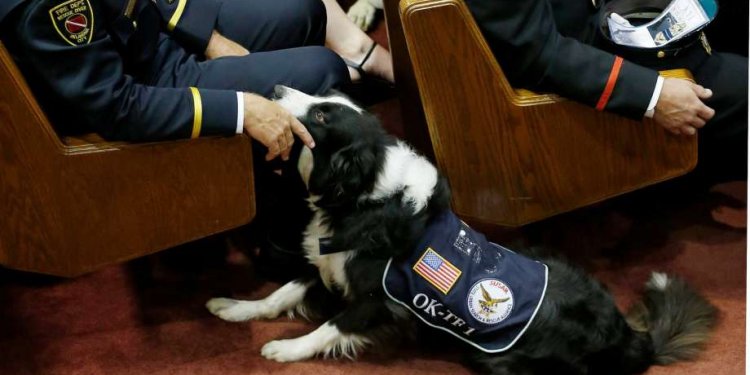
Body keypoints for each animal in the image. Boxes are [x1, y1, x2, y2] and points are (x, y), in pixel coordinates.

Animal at [209, 86, 720, 374]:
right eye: (322, 102)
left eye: (320, 116)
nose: (276, 87)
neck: (362, 195)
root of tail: (630, 339)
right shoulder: (330, 262)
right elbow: (281, 293)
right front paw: (233, 308)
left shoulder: (376, 299)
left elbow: (330, 326)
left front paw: (285, 349)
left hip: (495, 356)